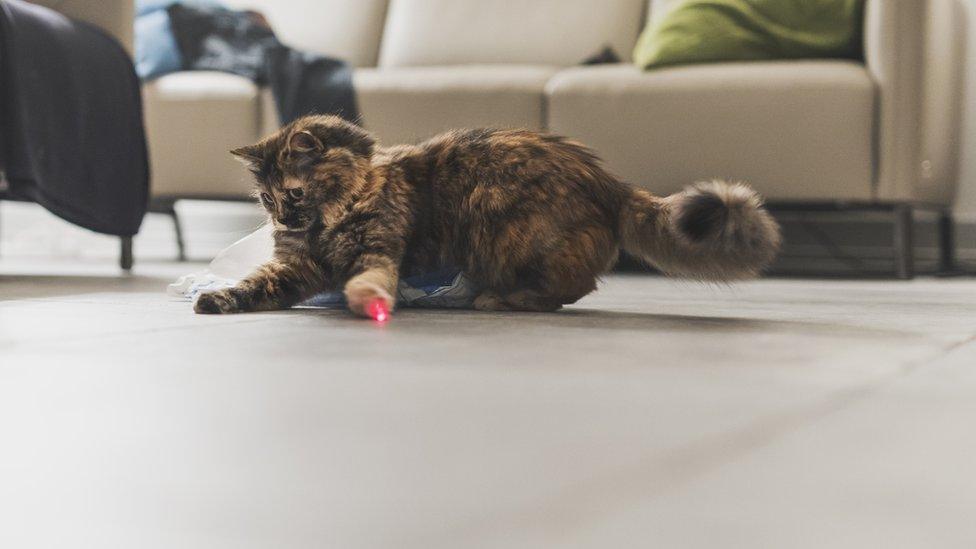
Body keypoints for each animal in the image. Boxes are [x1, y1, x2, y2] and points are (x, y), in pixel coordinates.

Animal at [194, 114, 780, 316]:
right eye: (267, 199)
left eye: (294, 194)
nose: (282, 223)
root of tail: (608, 182)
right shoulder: (294, 268)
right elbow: (255, 287)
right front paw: (217, 299)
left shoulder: (376, 247)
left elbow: (370, 277)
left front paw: (369, 301)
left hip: (503, 233)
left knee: (572, 288)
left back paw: (500, 300)